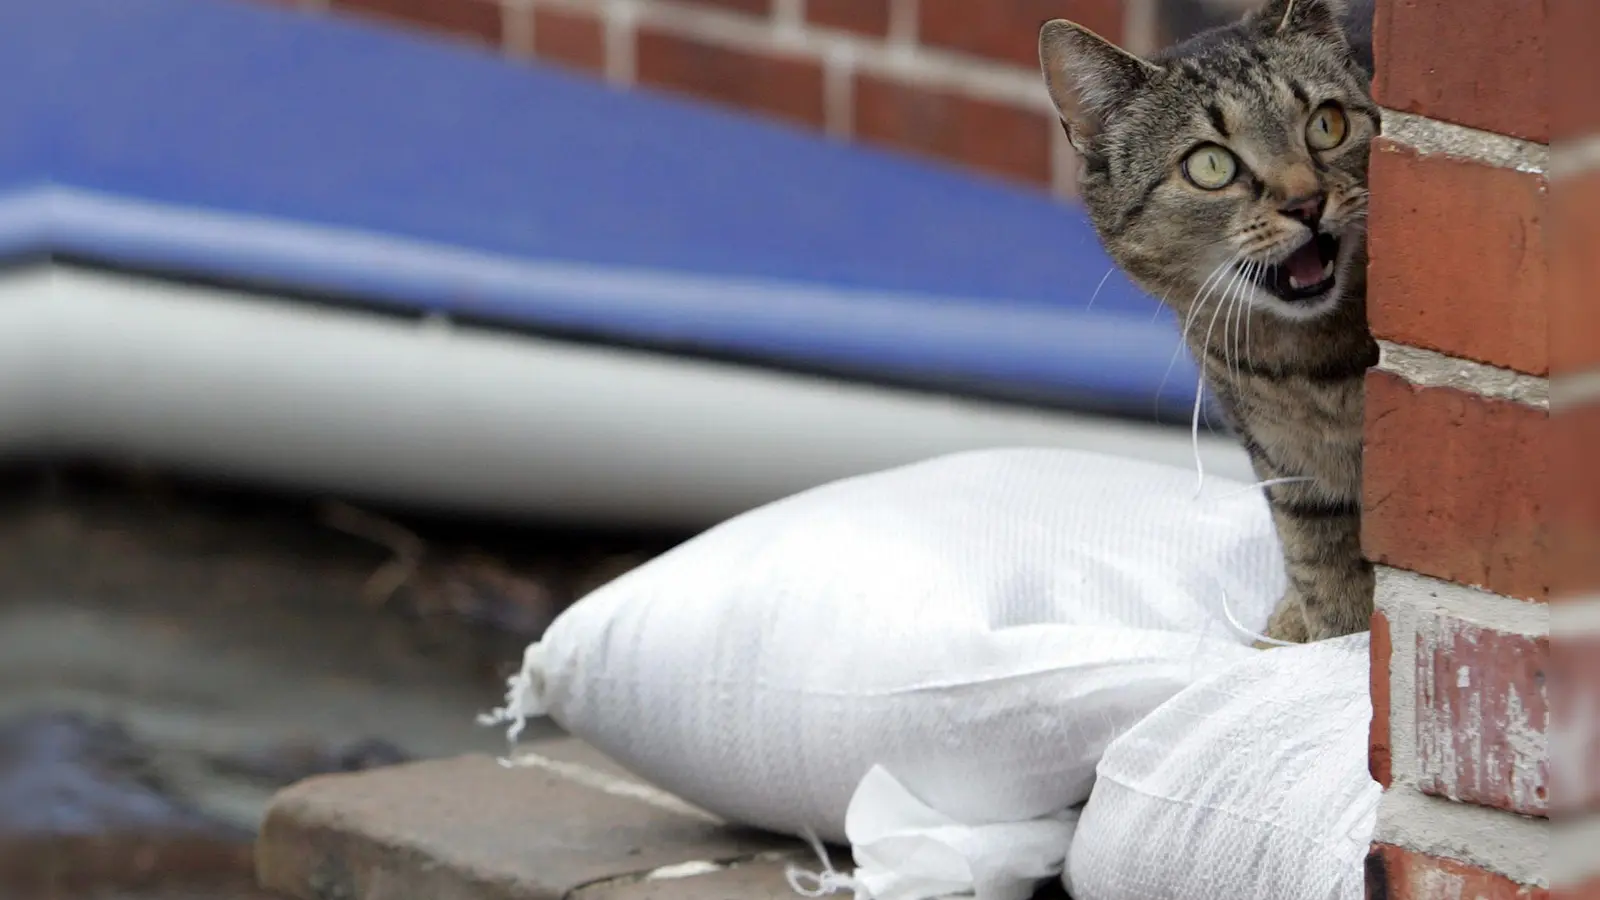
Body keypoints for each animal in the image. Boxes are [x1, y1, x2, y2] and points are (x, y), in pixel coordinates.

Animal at [1043, 1, 1382, 643]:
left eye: (1326, 125)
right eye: (1210, 165)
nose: (1306, 203)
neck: (1311, 363)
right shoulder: (1291, 469)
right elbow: (1326, 572)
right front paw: (1333, 634)